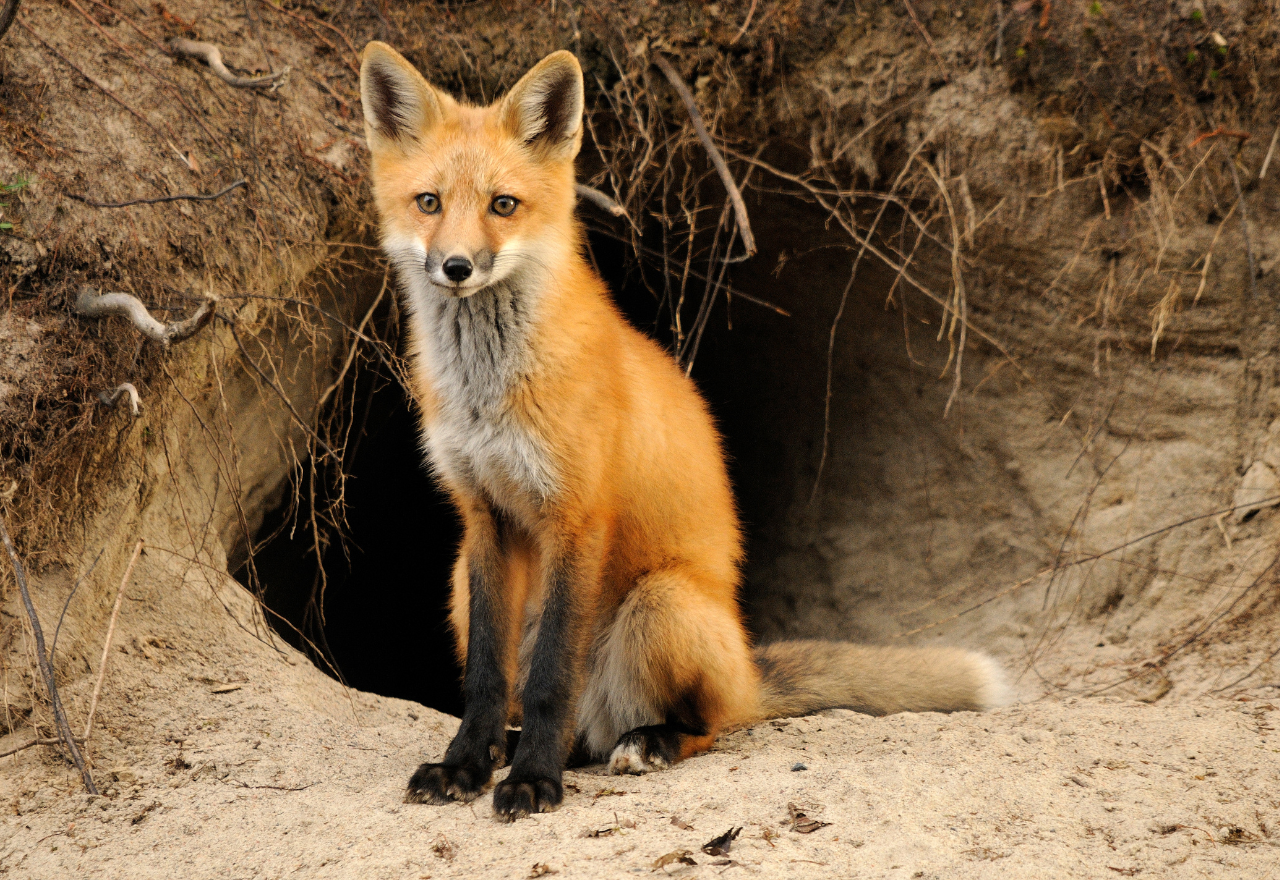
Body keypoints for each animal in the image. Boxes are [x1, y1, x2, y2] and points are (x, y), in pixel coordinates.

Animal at [358, 42, 1008, 821]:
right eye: (428, 202)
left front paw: (534, 781)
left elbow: (548, 680)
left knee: (708, 724)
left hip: (661, 603)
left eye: (502, 205)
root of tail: (746, 667)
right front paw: (465, 765)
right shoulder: (484, 517)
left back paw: (643, 744)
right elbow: (488, 678)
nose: (456, 267)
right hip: (461, 577)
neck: (490, 393)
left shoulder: (578, 516)